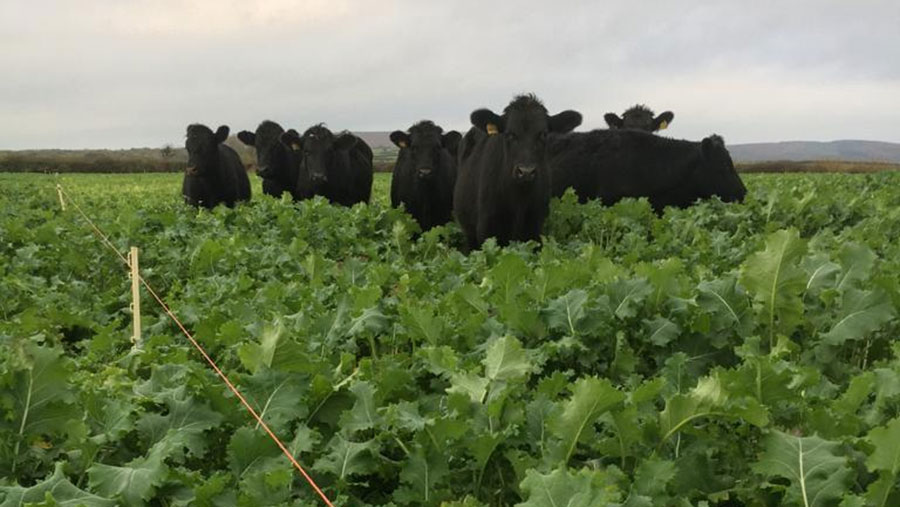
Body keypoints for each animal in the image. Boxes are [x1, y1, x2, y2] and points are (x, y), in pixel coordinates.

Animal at [458, 94, 584, 249]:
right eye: (510, 134)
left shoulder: (534, 229)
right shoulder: (487, 230)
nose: (526, 172)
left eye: (543, 134)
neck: (519, 199)